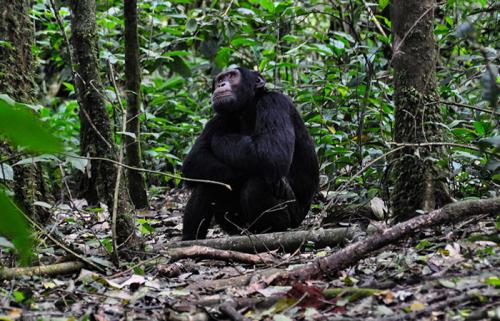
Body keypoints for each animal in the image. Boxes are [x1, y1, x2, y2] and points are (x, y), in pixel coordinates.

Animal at [182, 66, 318, 239]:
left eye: (232, 76)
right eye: (220, 79)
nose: (221, 85)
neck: (246, 110)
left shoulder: (274, 103)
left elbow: (272, 154)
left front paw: (220, 138)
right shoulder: (218, 119)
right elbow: (194, 160)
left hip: (293, 219)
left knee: (257, 182)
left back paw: (272, 230)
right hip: (234, 225)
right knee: (207, 181)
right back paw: (190, 239)